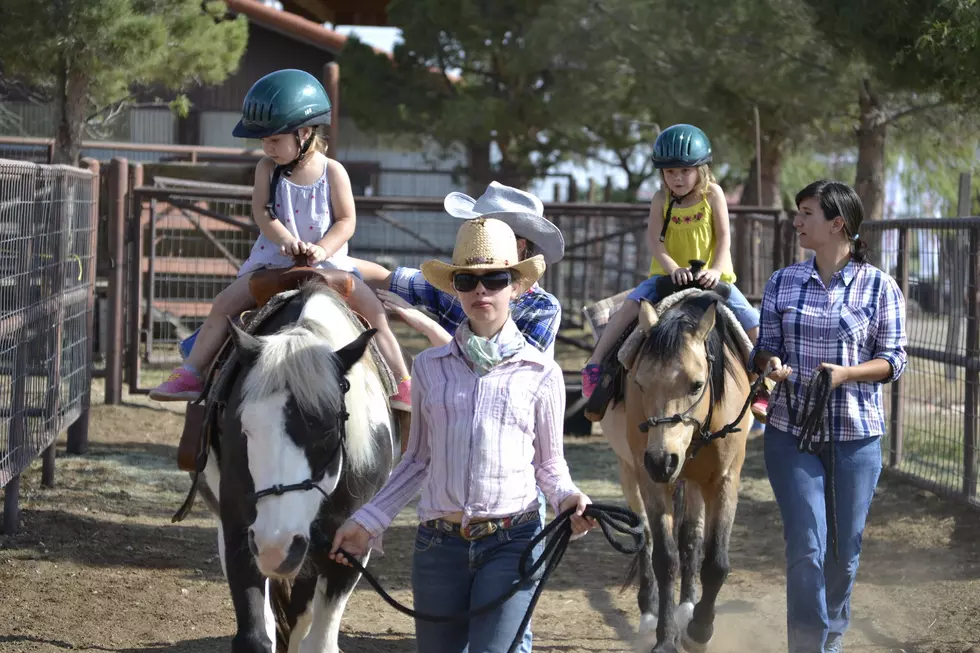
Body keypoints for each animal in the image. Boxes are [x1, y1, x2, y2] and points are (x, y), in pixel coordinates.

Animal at [189, 280, 396, 652]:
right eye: (244, 428)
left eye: (327, 429)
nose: (277, 547)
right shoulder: (239, 529)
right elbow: (256, 638)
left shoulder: (349, 544)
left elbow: (320, 642)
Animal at [596, 288, 752, 652]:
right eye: (640, 383)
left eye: (696, 385)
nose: (661, 460)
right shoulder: (651, 481)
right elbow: (665, 559)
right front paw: (666, 638)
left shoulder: (724, 480)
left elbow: (715, 562)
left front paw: (698, 631)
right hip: (630, 472)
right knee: (644, 536)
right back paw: (649, 613)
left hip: (691, 481)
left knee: (691, 538)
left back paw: (687, 608)